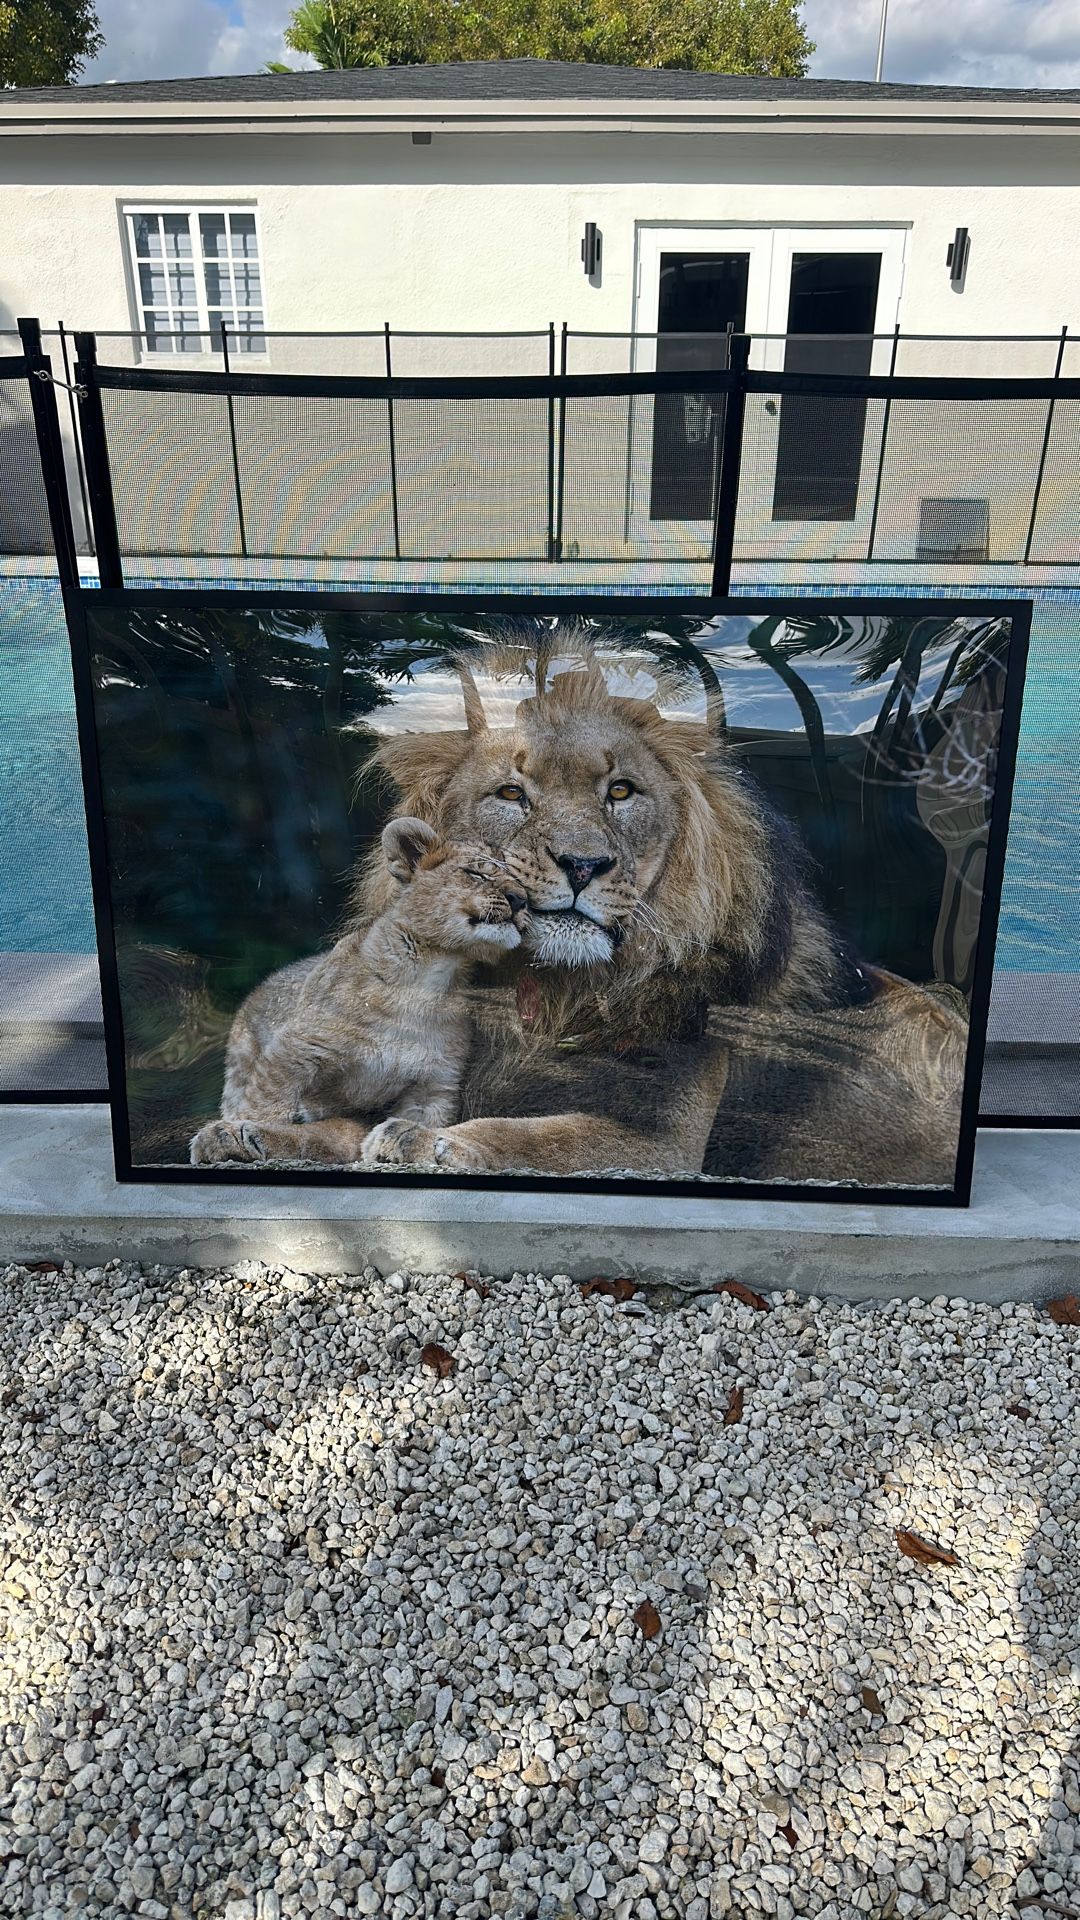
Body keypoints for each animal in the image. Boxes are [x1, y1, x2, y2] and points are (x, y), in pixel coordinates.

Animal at [189, 818, 527, 1168]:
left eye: (522, 884)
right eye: (477, 873)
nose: (520, 900)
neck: (431, 978)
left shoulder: (433, 1084)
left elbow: (419, 1123)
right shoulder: (294, 1050)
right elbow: (266, 1105)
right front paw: (245, 1130)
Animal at [355, 646, 968, 1186]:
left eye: (621, 791)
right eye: (511, 793)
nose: (583, 865)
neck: (553, 993)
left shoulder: (665, 1142)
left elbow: (532, 1136)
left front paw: (424, 1140)